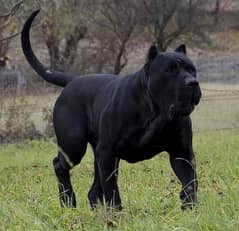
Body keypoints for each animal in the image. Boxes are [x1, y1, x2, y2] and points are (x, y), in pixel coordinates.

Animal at [21, 10, 202, 209]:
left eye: (192, 70)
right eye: (170, 70)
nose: (192, 82)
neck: (156, 113)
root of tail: (73, 80)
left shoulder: (181, 153)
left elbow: (190, 181)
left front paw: (189, 205)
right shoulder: (108, 152)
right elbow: (111, 188)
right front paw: (116, 211)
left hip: (95, 153)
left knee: (93, 190)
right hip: (74, 144)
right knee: (59, 165)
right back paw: (68, 201)